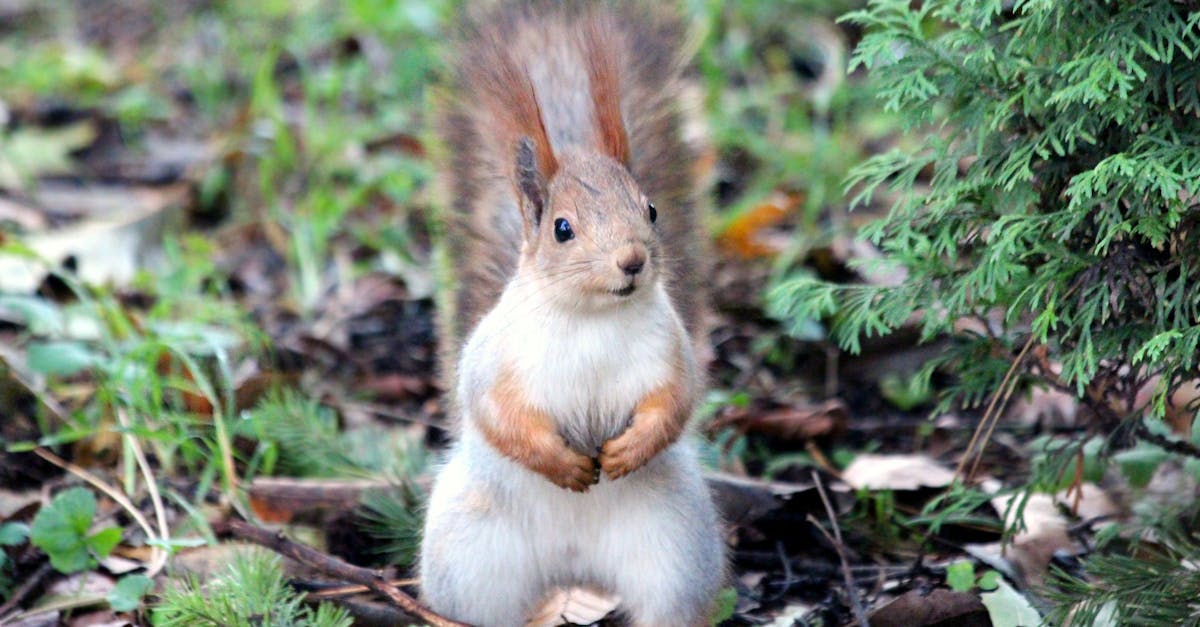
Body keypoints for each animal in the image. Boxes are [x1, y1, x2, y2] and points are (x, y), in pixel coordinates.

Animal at [420, 2, 724, 626]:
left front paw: (629, 449)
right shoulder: (496, 360)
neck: (591, 317)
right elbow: (497, 413)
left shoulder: (671, 352)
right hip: (469, 555)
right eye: (563, 229)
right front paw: (561, 465)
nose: (632, 260)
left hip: (675, 550)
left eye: (650, 210)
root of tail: (573, 570)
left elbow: (674, 403)